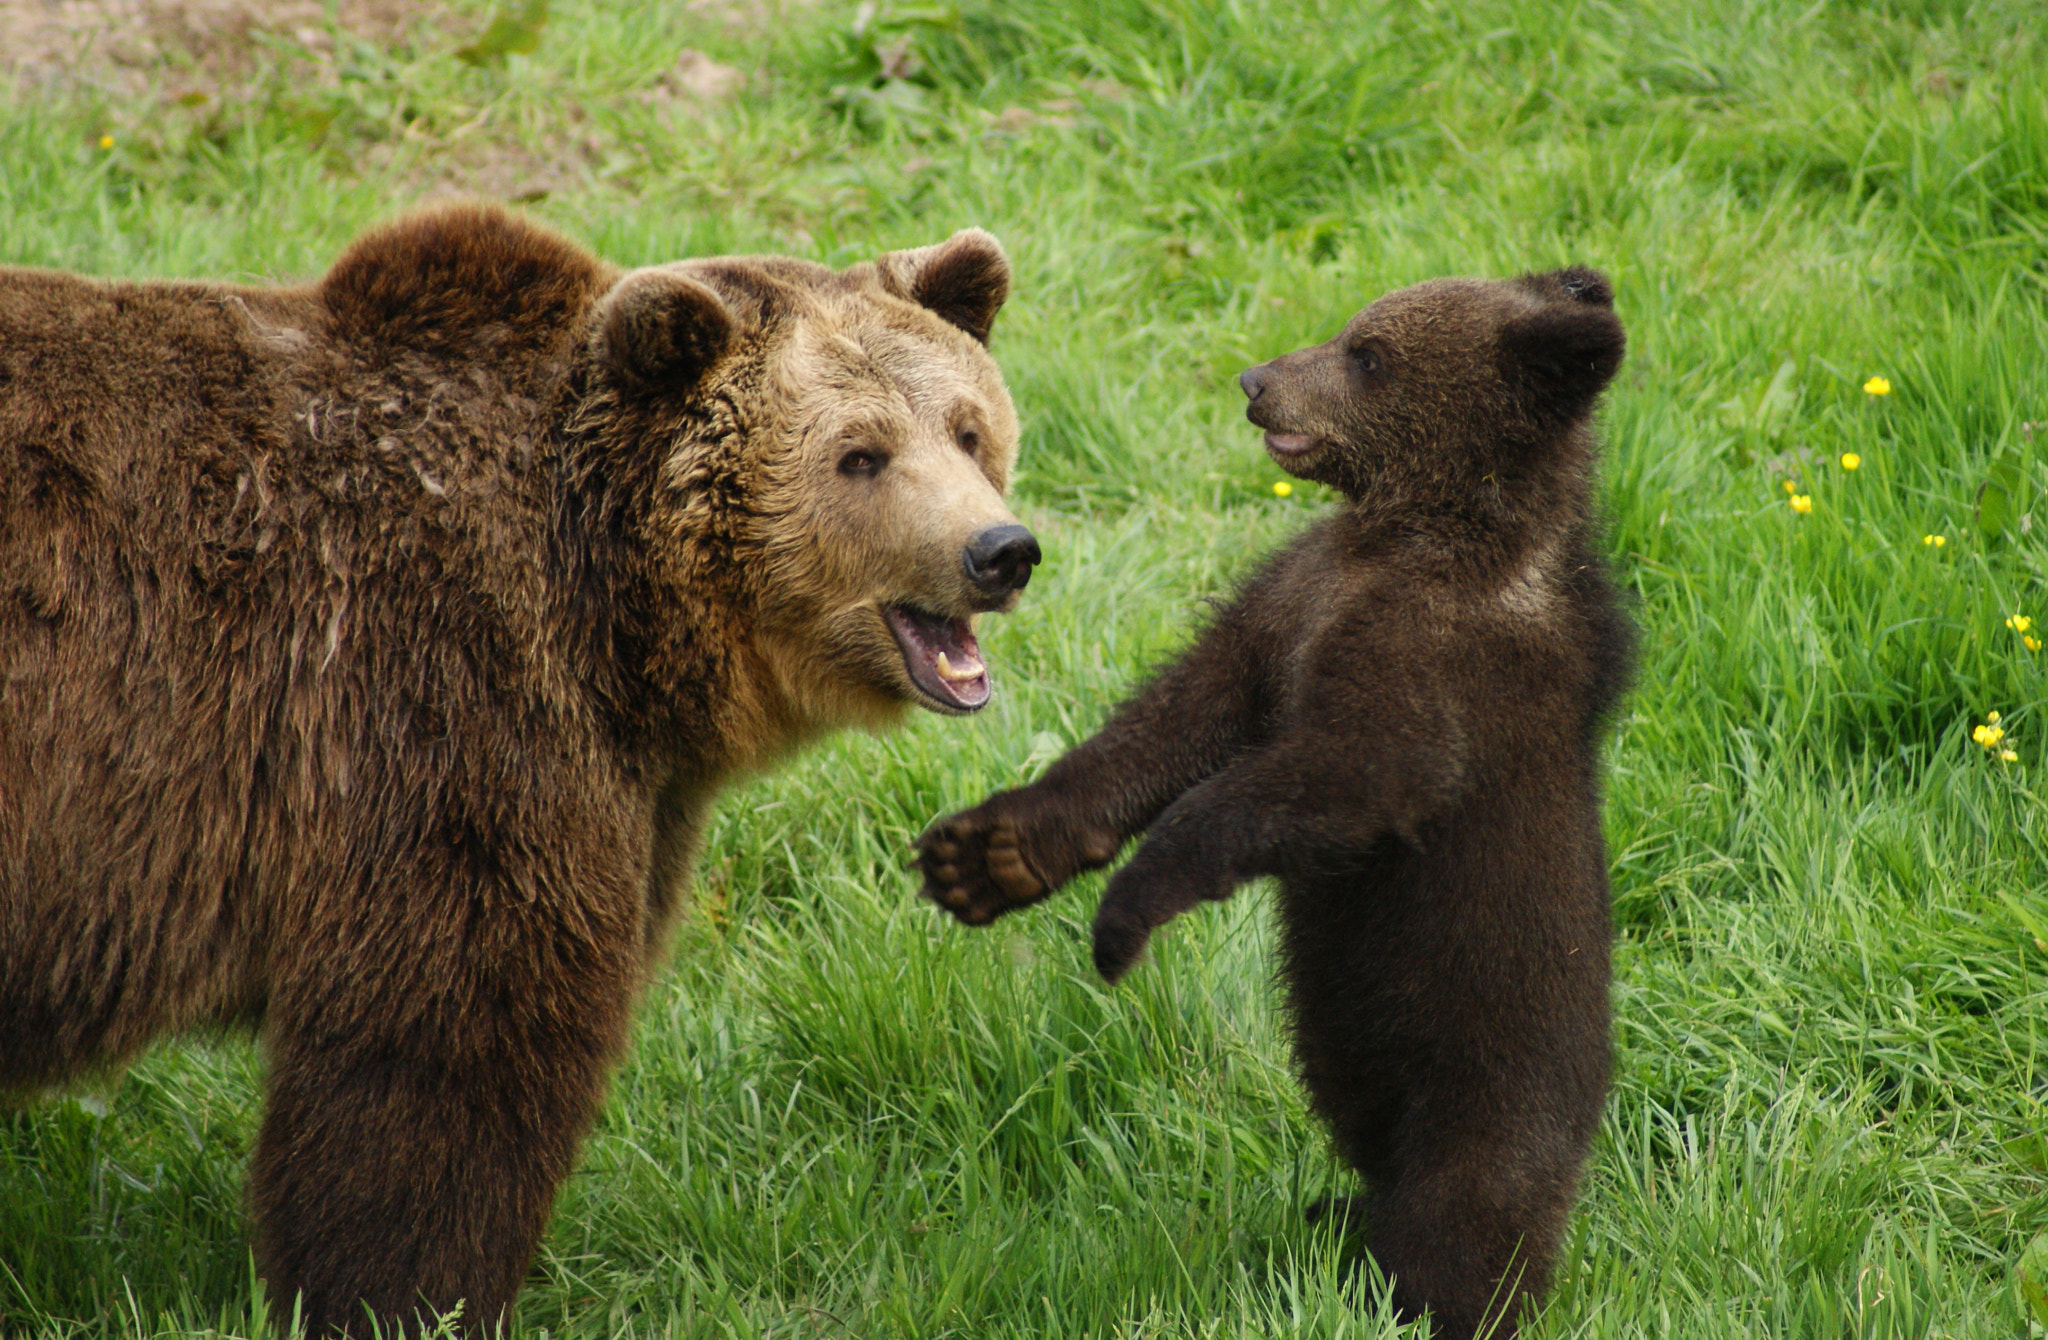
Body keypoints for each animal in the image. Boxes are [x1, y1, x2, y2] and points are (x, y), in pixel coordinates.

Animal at [0, 204, 1040, 1335]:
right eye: (860, 454)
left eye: (967, 428)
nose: (999, 549)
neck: (618, 619)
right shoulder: (442, 713)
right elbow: (447, 1060)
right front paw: (409, 1295)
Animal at [921, 272, 1638, 1340]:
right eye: (1354, 328)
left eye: (1370, 354)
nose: (1258, 381)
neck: (1414, 532)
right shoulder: (1293, 598)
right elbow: (1186, 711)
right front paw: (991, 853)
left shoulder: (1443, 668)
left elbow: (1341, 776)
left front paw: (1124, 913)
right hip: (1363, 1070)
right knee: (1376, 1162)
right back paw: (1332, 1221)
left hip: (1487, 1078)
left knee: (1466, 1222)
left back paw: (1423, 1294)